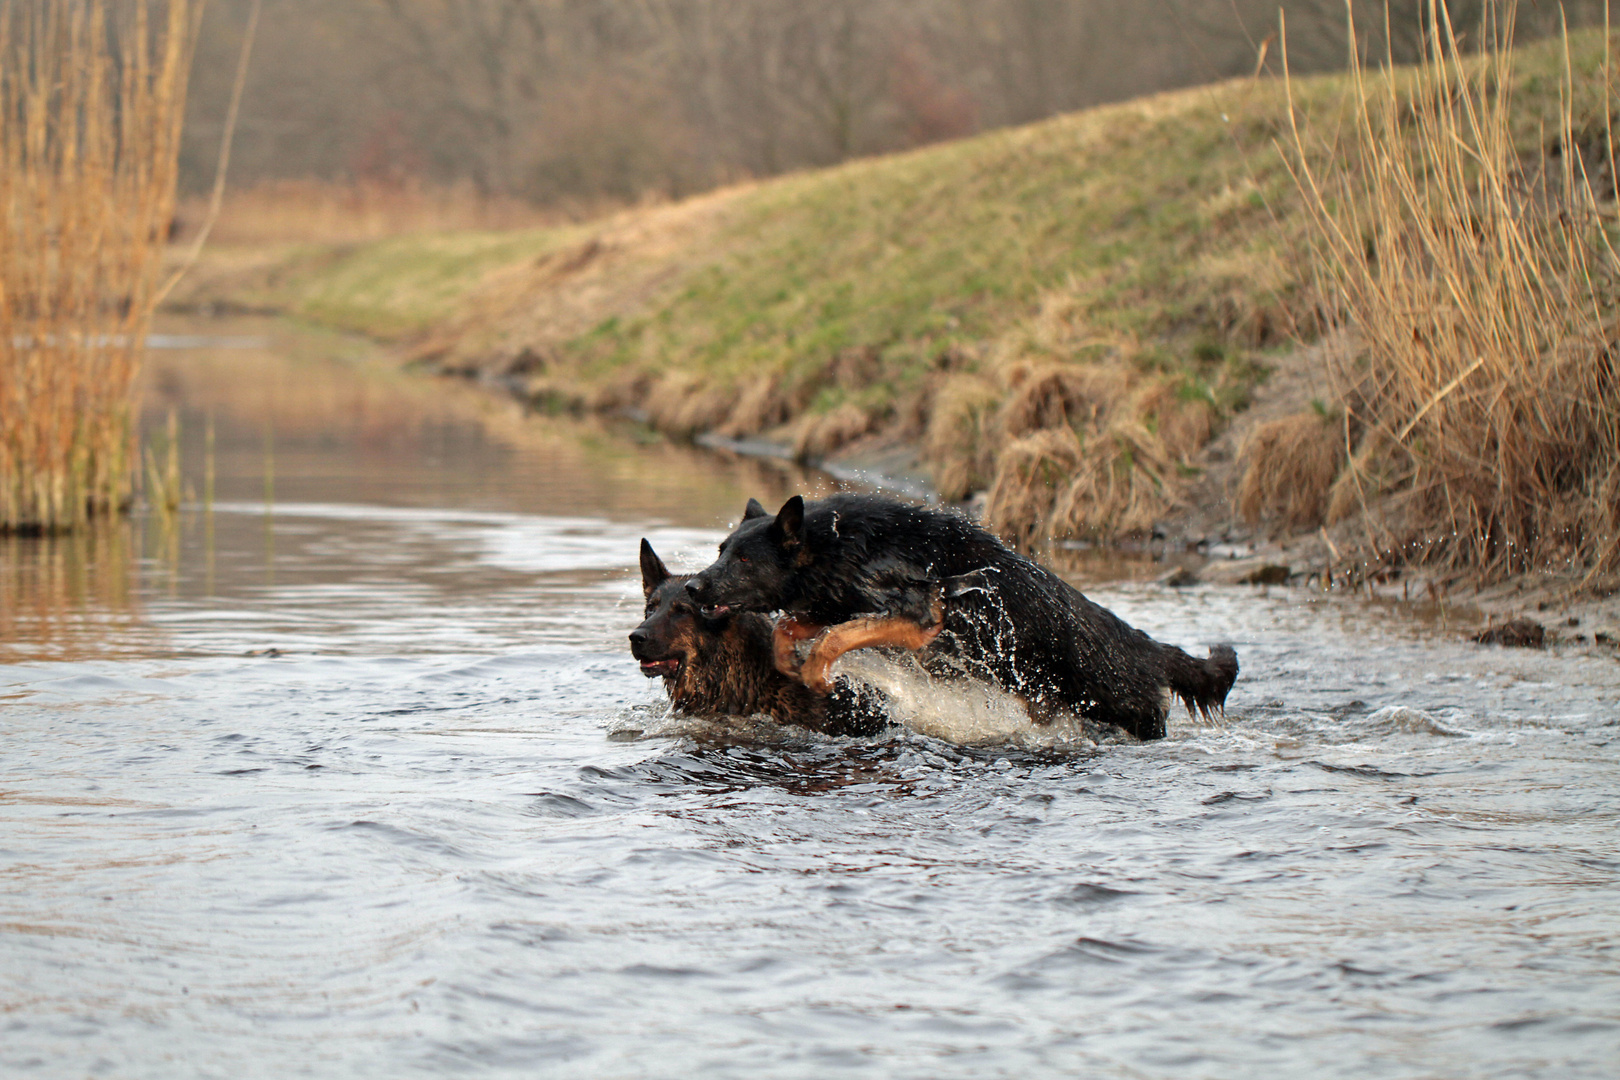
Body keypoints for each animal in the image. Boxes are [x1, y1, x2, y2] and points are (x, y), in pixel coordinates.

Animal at [683, 495, 1237, 744]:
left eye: (744, 560)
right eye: (721, 550)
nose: (691, 587)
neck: (837, 544)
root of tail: (1150, 648)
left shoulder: (920, 616)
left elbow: (833, 638)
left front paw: (816, 674)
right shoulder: (834, 602)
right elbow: (792, 627)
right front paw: (790, 662)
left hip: (1129, 708)